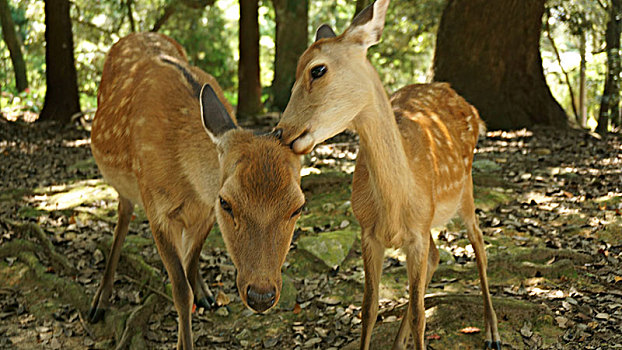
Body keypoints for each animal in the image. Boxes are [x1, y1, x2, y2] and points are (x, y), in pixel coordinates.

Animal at [90, 32, 308, 348]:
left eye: (298, 206)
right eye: (227, 202)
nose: (261, 295)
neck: (189, 184)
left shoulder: (204, 212)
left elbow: (190, 266)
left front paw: (199, 295)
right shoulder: (156, 209)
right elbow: (180, 290)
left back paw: (205, 292)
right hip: (126, 184)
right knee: (123, 213)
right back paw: (100, 300)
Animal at [276, 1, 502, 348]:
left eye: (317, 69)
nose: (280, 131)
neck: (396, 204)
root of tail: (471, 109)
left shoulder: (418, 232)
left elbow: (420, 315)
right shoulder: (369, 232)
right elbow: (369, 308)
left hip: (465, 189)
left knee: (478, 242)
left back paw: (492, 332)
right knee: (437, 256)